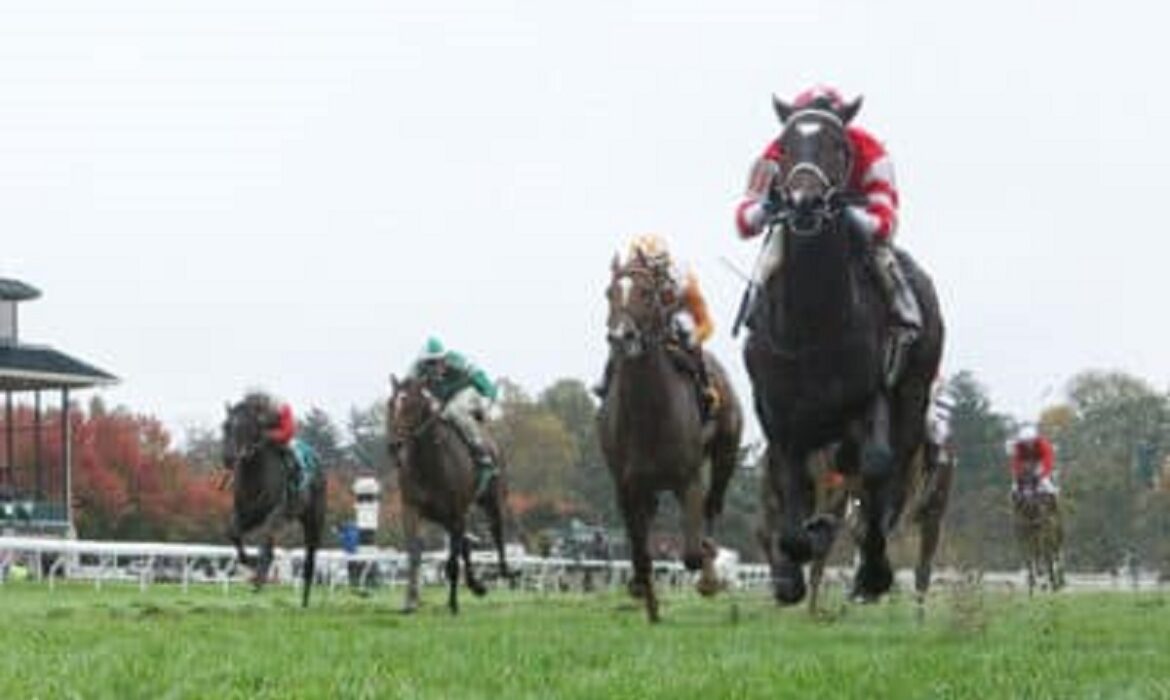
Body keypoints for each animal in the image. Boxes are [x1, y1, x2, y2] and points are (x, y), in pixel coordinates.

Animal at [221, 397, 325, 613]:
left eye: (246, 427)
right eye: (225, 426)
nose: (227, 458)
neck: (255, 475)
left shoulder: (277, 512)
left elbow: (265, 538)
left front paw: (259, 577)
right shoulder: (246, 514)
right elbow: (233, 534)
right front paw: (250, 564)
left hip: (313, 520)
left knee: (310, 558)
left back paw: (305, 600)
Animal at [388, 379, 512, 613]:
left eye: (411, 406)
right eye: (391, 404)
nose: (394, 445)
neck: (429, 463)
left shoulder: (456, 511)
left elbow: (453, 562)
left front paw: (453, 604)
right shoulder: (411, 508)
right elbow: (414, 554)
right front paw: (410, 601)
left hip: (491, 499)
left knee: (497, 530)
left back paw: (505, 572)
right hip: (445, 516)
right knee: (465, 543)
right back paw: (476, 585)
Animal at [599, 252, 744, 627]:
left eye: (647, 293)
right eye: (609, 292)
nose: (621, 337)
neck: (648, 413)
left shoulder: (688, 480)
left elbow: (692, 552)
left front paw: (710, 574)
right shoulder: (627, 486)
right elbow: (641, 554)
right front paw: (647, 601)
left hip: (724, 455)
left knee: (712, 505)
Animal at [744, 95, 945, 604]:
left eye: (839, 145)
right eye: (785, 146)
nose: (805, 202)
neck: (813, 321)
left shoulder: (868, 399)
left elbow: (875, 470)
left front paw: (871, 570)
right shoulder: (780, 417)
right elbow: (788, 489)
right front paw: (793, 565)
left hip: (911, 397)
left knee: (887, 476)